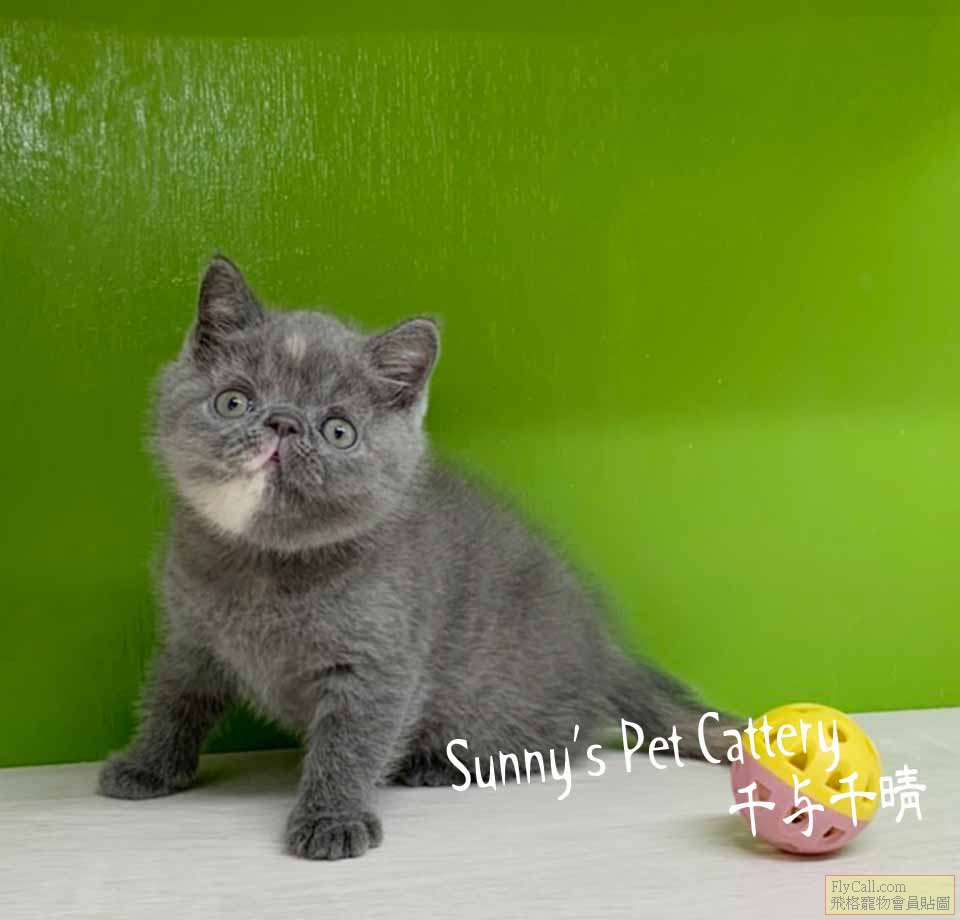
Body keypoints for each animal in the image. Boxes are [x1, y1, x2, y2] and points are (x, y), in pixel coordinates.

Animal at [98, 255, 738, 860]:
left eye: (338, 431)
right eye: (234, 401)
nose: (282, 423)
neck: (263, 565)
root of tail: (605, 652)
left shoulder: (379, 661)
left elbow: (351, 744)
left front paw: (333, 818)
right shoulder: (190, 638)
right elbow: (174, 701)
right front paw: (147, 765)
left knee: (556, 741)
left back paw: (440, 764)